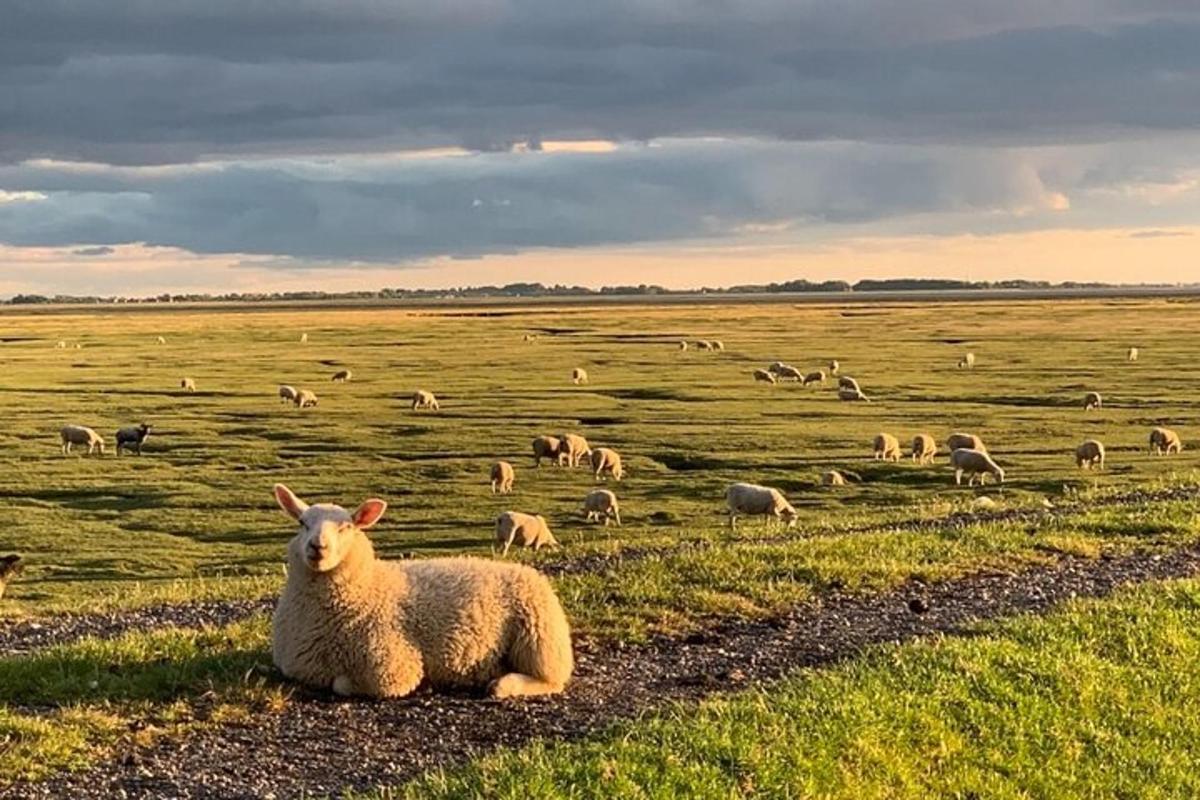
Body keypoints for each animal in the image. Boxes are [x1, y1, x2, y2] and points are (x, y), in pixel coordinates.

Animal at [272, 482, 571, 700]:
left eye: (346, 527)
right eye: (302, 523)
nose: (317, 547)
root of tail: (527, 571)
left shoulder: (391, 668)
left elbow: (341, 684)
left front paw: (423, 684)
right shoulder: (299, 667)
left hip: (539, 637)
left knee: (553, 679)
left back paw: (502, 685)